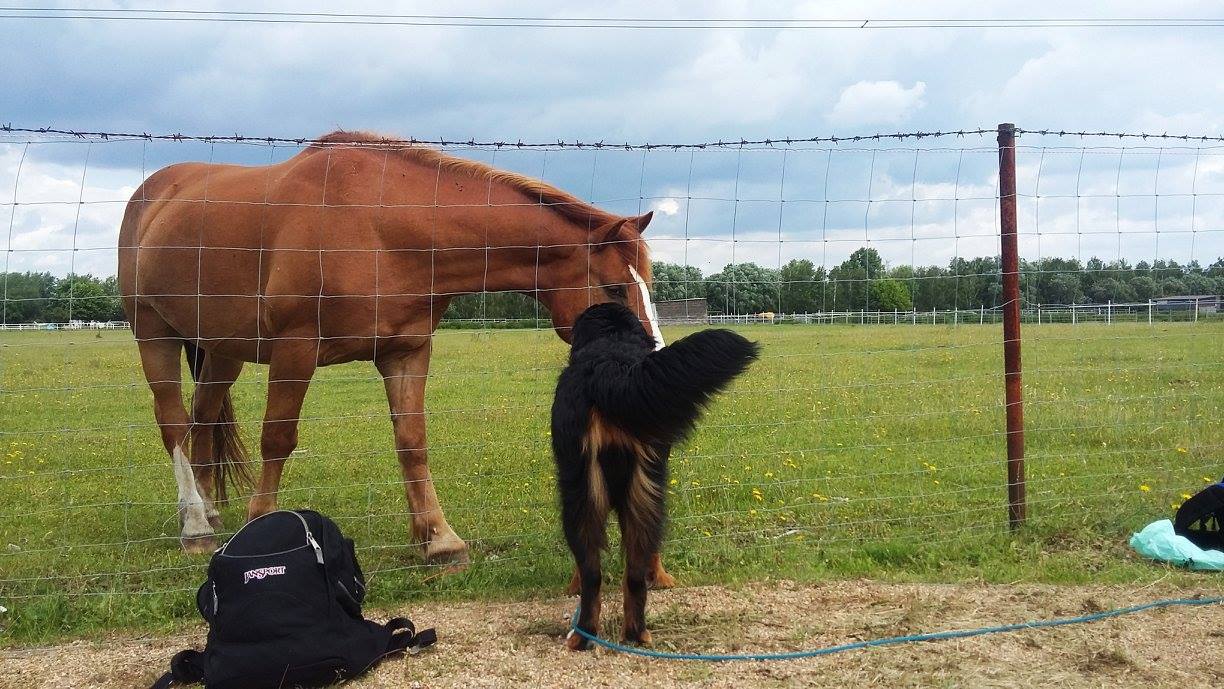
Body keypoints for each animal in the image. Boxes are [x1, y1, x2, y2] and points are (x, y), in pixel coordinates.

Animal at [116, 132, 670, 580]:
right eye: (615, 288)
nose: (652, 365)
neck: (381, 225)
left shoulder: (407, 351)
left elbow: (412, 440)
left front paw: (440, 540)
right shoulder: (296, 348)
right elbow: (277, 438)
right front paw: (258, 528)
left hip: (222, 351)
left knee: (202, 418)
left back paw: (207, 511)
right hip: (154, 335)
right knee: (173, 423)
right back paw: (195, 526)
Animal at [553, 302, 753, 646]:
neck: (612, 340)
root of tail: (609, 369)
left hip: (580, 494)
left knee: (593, 573)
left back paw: (584, 636)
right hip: (642, 494)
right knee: (630, 575)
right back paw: (632, 634)